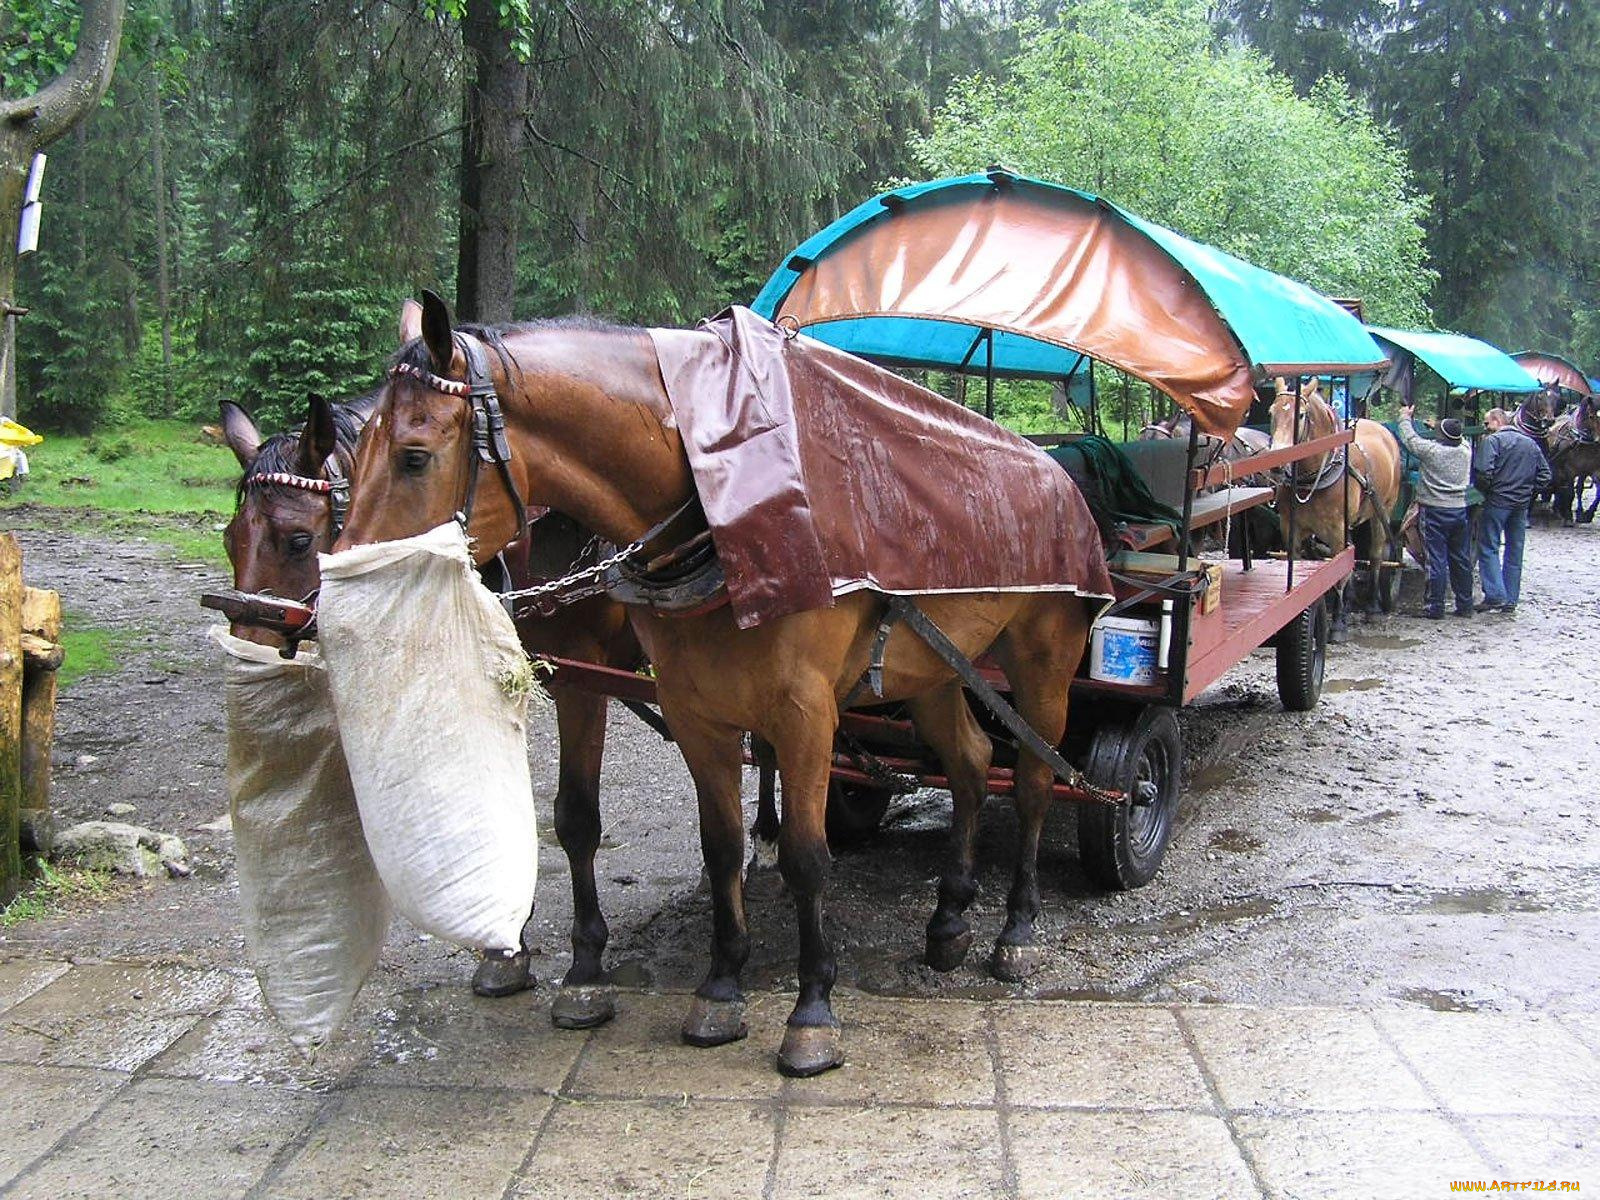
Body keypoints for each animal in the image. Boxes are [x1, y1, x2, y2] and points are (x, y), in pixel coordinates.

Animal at [218, 308, 646, 1029]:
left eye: (298, 540)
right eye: (230, 540)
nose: (248, 643)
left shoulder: (582, 679)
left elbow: (575, 818)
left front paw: (586, 965)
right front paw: (505, 947)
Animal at [334, 293, 1101, 1077]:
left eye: (414, 456)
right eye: (353, 461)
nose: (338, 598)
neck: (714, 505)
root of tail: (1058, 472)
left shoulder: (805, 714)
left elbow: (806, 856)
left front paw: (811, 1011)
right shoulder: (693, 709)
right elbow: (717, 843)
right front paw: (721, 985)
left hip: (1044, 658)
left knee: (1035, 781)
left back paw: (1016, 929)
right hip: (934, 668)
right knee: (972, 763)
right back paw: (949, 918)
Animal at [1269, 377, 1402, 633]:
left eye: (1301, 415)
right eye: (1271, 412)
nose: (1277, 465)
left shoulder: (1336, 530)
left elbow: (1339, 573)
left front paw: (1338, 622)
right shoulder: (1291, 529)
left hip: (1383, 511)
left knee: (1376, 555)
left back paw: (1371, 606)